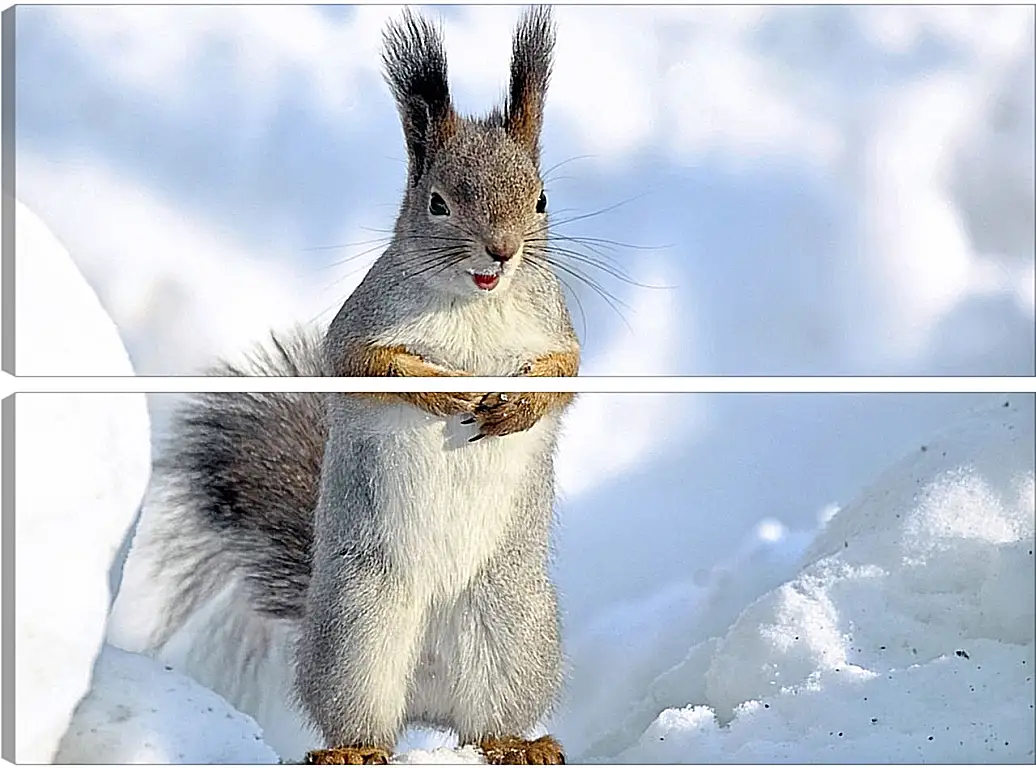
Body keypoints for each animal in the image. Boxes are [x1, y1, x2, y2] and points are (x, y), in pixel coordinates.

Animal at [114, 7, 584, 766]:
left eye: (542, 199)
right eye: (437, 203)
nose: (502, 251)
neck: (476, 303)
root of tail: (426, 696)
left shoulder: (557, 331)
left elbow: (565, 381)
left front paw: (515, 406)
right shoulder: (360, 327)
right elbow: (370, 366)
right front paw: (446, 392)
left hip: (510, 626)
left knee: (489, 714)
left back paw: (516, 742)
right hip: (358, 628)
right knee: (361, 712)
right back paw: (354, 750)